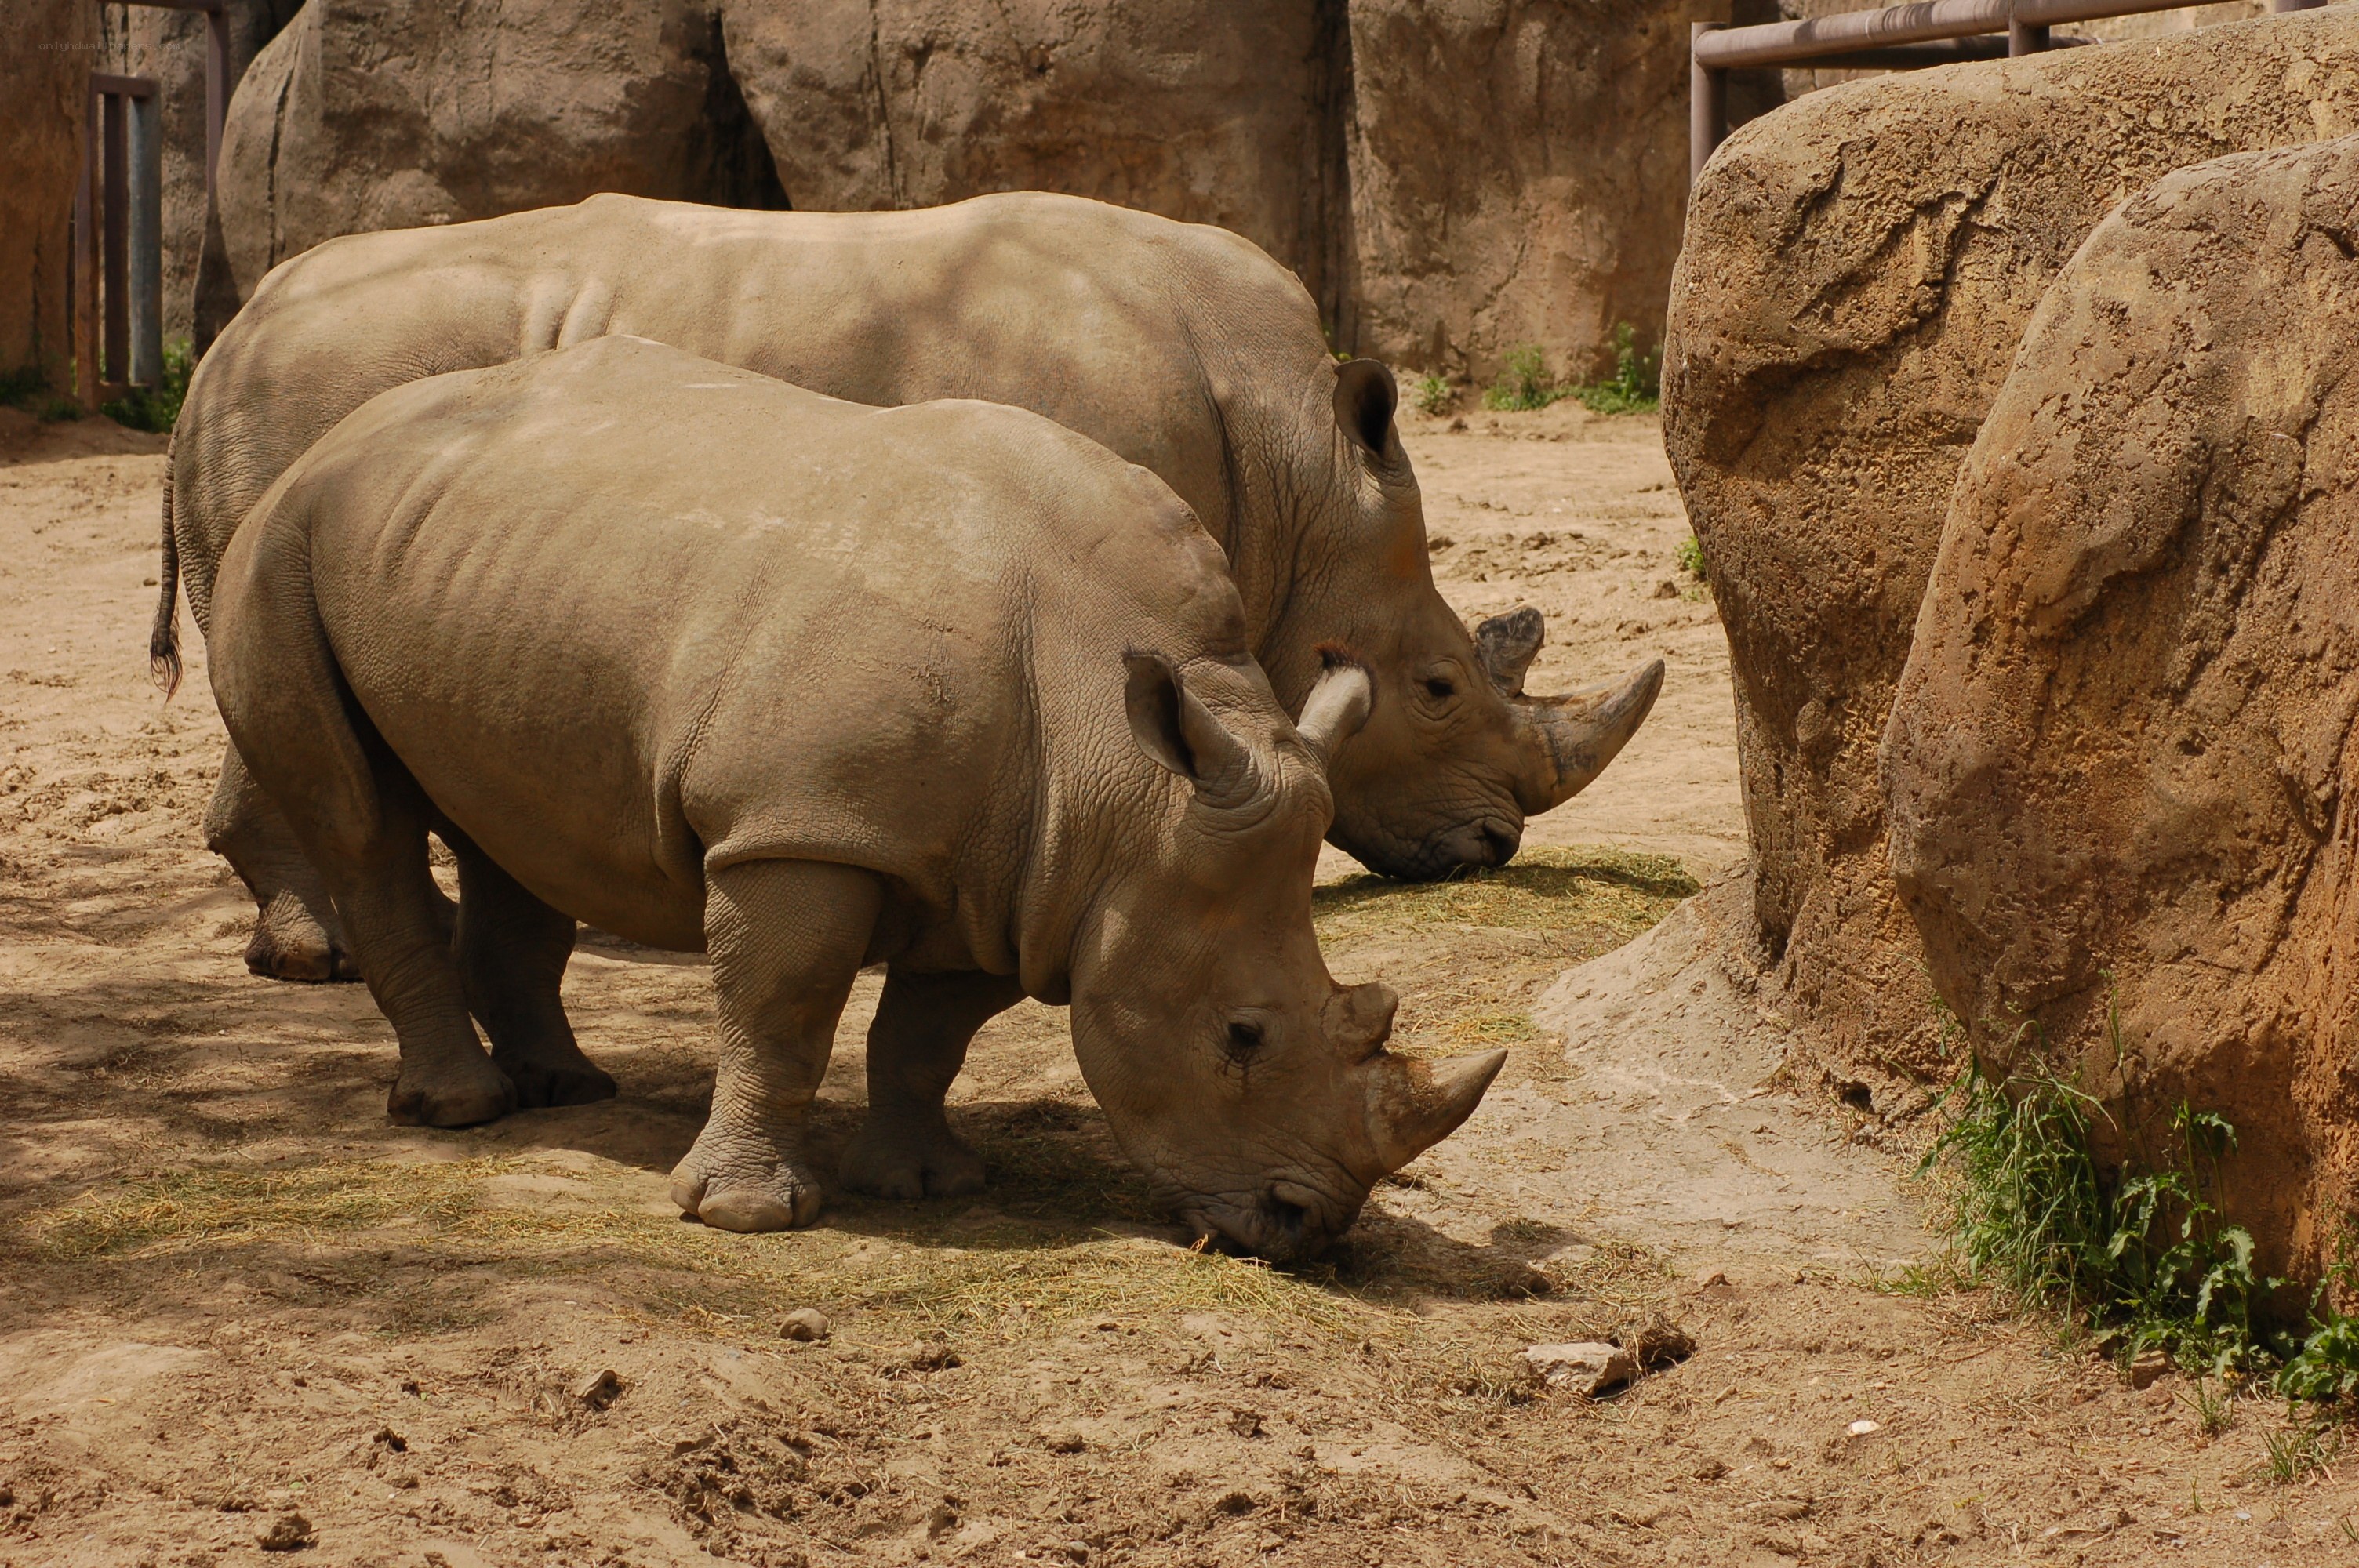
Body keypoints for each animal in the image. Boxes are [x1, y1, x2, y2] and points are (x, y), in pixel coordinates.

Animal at [158, 191, 1662, 986]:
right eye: (1437, 686)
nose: (1493, 848)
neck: (1298, 472)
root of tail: (220, 343)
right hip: (321, 397)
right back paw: (326, 955)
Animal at [204, 335, 1504, 1257]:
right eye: (1240, 1036)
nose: (1309, 1226)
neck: (1130, 783)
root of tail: (338, 429)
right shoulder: (803, 830)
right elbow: (782, 1006)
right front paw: (748, 1218)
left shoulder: (1031, 875)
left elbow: (929, 1031)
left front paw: (927, 1183)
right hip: (281, 543)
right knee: (361, 821)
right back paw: (464, 1111)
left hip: (480, 567)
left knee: (511, 818)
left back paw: (564, 1088)